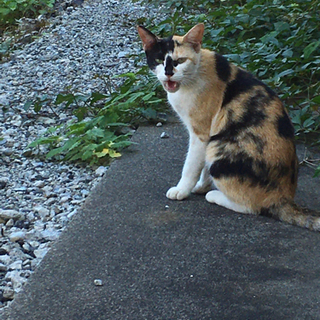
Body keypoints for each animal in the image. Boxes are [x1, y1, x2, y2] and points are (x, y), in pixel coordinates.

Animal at [138, 23, 320, 232]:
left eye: (180, 60)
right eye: (159, 60)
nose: (169, 73)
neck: (195, 74)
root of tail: (284, 198)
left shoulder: (201, 134)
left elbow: (191, 166)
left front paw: (182, 190)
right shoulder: (207, 135)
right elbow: (203, 168)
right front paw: (201, 187)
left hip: (219, 149)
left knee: (252, 207)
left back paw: (215, 196)